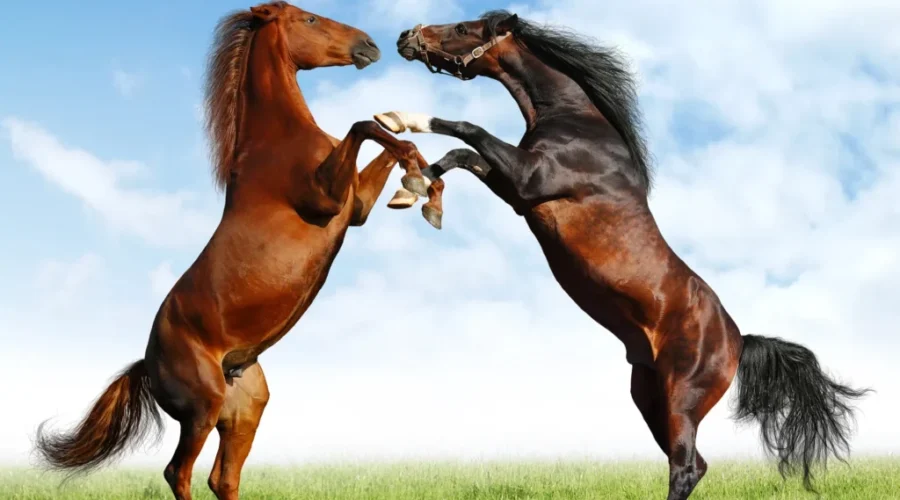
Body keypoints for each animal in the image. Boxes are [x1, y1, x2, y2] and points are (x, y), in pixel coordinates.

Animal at [33, 3, 431, 499]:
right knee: (178, 472)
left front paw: (417, 174)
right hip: (202, 409)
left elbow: (383, 137)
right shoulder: (328, 199)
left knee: (222, 478)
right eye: (309, 19)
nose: (370, 45)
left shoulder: (354, 207)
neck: (276, 141)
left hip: (245, 410)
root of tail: (148, 362)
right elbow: (362, 126)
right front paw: (418, 180)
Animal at [373, 11, 872, 500]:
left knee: (685, 467)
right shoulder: (518, 192)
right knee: (692, 464)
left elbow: (466, 130)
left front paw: (399, 120)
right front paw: (414, 192)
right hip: (648, 397)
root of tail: (737, 340)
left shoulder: (530, 180)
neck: (577, 124)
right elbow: (460, 155)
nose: (405, 37)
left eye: (462, 28)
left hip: (681, 398)